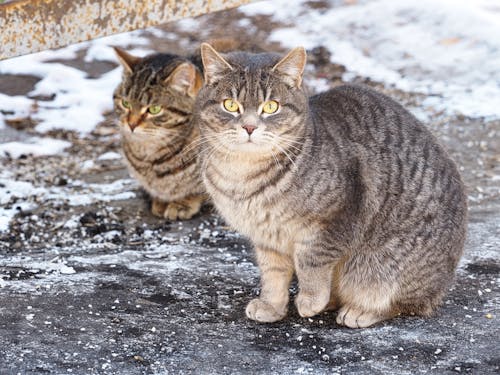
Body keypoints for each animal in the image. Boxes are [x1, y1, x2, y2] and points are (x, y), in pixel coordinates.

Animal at [195, 42, 468, 328]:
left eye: (270, 107)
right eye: (230, 105)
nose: (249, 127)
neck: (241, 176)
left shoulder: (332, 222)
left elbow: (311, 263)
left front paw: (310, 300)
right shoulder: (267, 239)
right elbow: (273, 275)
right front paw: (272, 305)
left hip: (383, 265)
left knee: (403, 303)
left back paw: (359, 311)